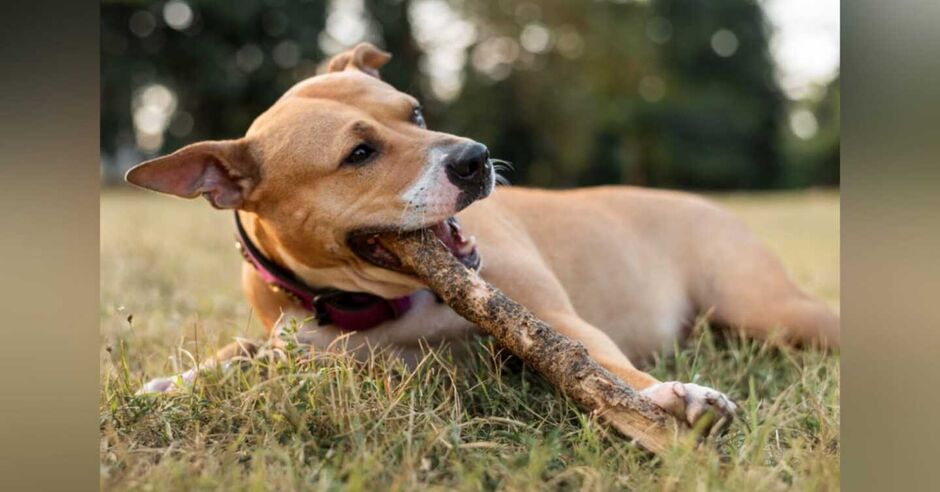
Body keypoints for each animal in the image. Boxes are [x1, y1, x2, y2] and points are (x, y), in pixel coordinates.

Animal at [125, 42, 836, 430]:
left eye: (414, 112)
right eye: (359, 153)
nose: (475, 157)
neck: (373, 304)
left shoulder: (551, 319)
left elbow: (599, 363)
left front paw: (675, 397)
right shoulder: (311, 348)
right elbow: (244, 353)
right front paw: (178, 381)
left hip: (765, 305)